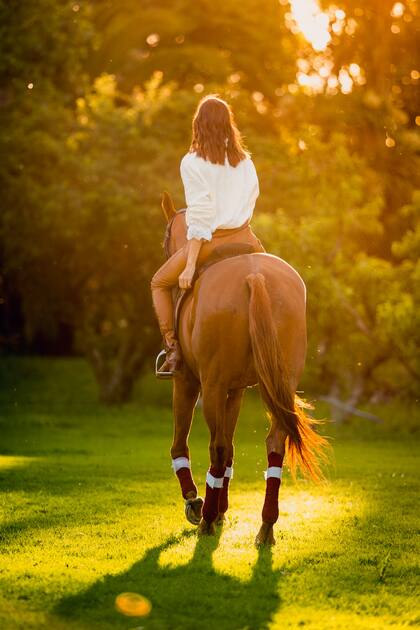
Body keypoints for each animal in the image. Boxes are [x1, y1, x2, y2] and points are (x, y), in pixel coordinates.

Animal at [159, 190, 326, 544]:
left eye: (166, 236)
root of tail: (255, 276)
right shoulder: (235, 390)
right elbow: (233, 445)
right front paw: (221, 508)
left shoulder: (188, 381)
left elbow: (182, 443)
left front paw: (195, 503)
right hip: (278, 382)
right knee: (273, 442)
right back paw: (266, 525)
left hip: (211, 386)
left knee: (217, 447)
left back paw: (207, 519)